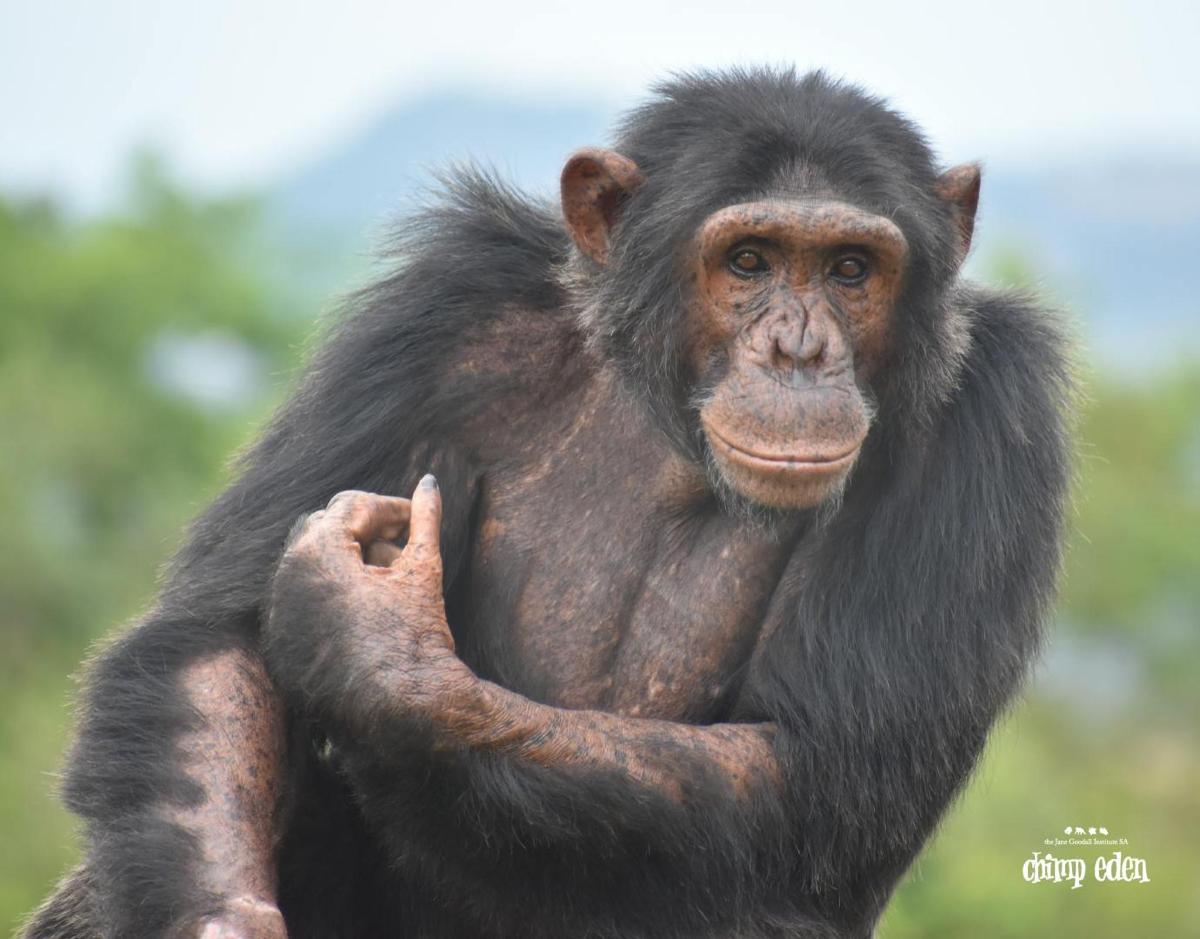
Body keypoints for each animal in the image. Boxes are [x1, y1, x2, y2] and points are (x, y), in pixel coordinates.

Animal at [28, 68, 1075, 939]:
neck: (671, 421)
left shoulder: (994, 414)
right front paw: (221, 920)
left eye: (852, 268)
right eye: (748, 261)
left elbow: (815, 763)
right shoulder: (442, 315)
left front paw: (376, 645)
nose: (800, 350)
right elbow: (219, 640)